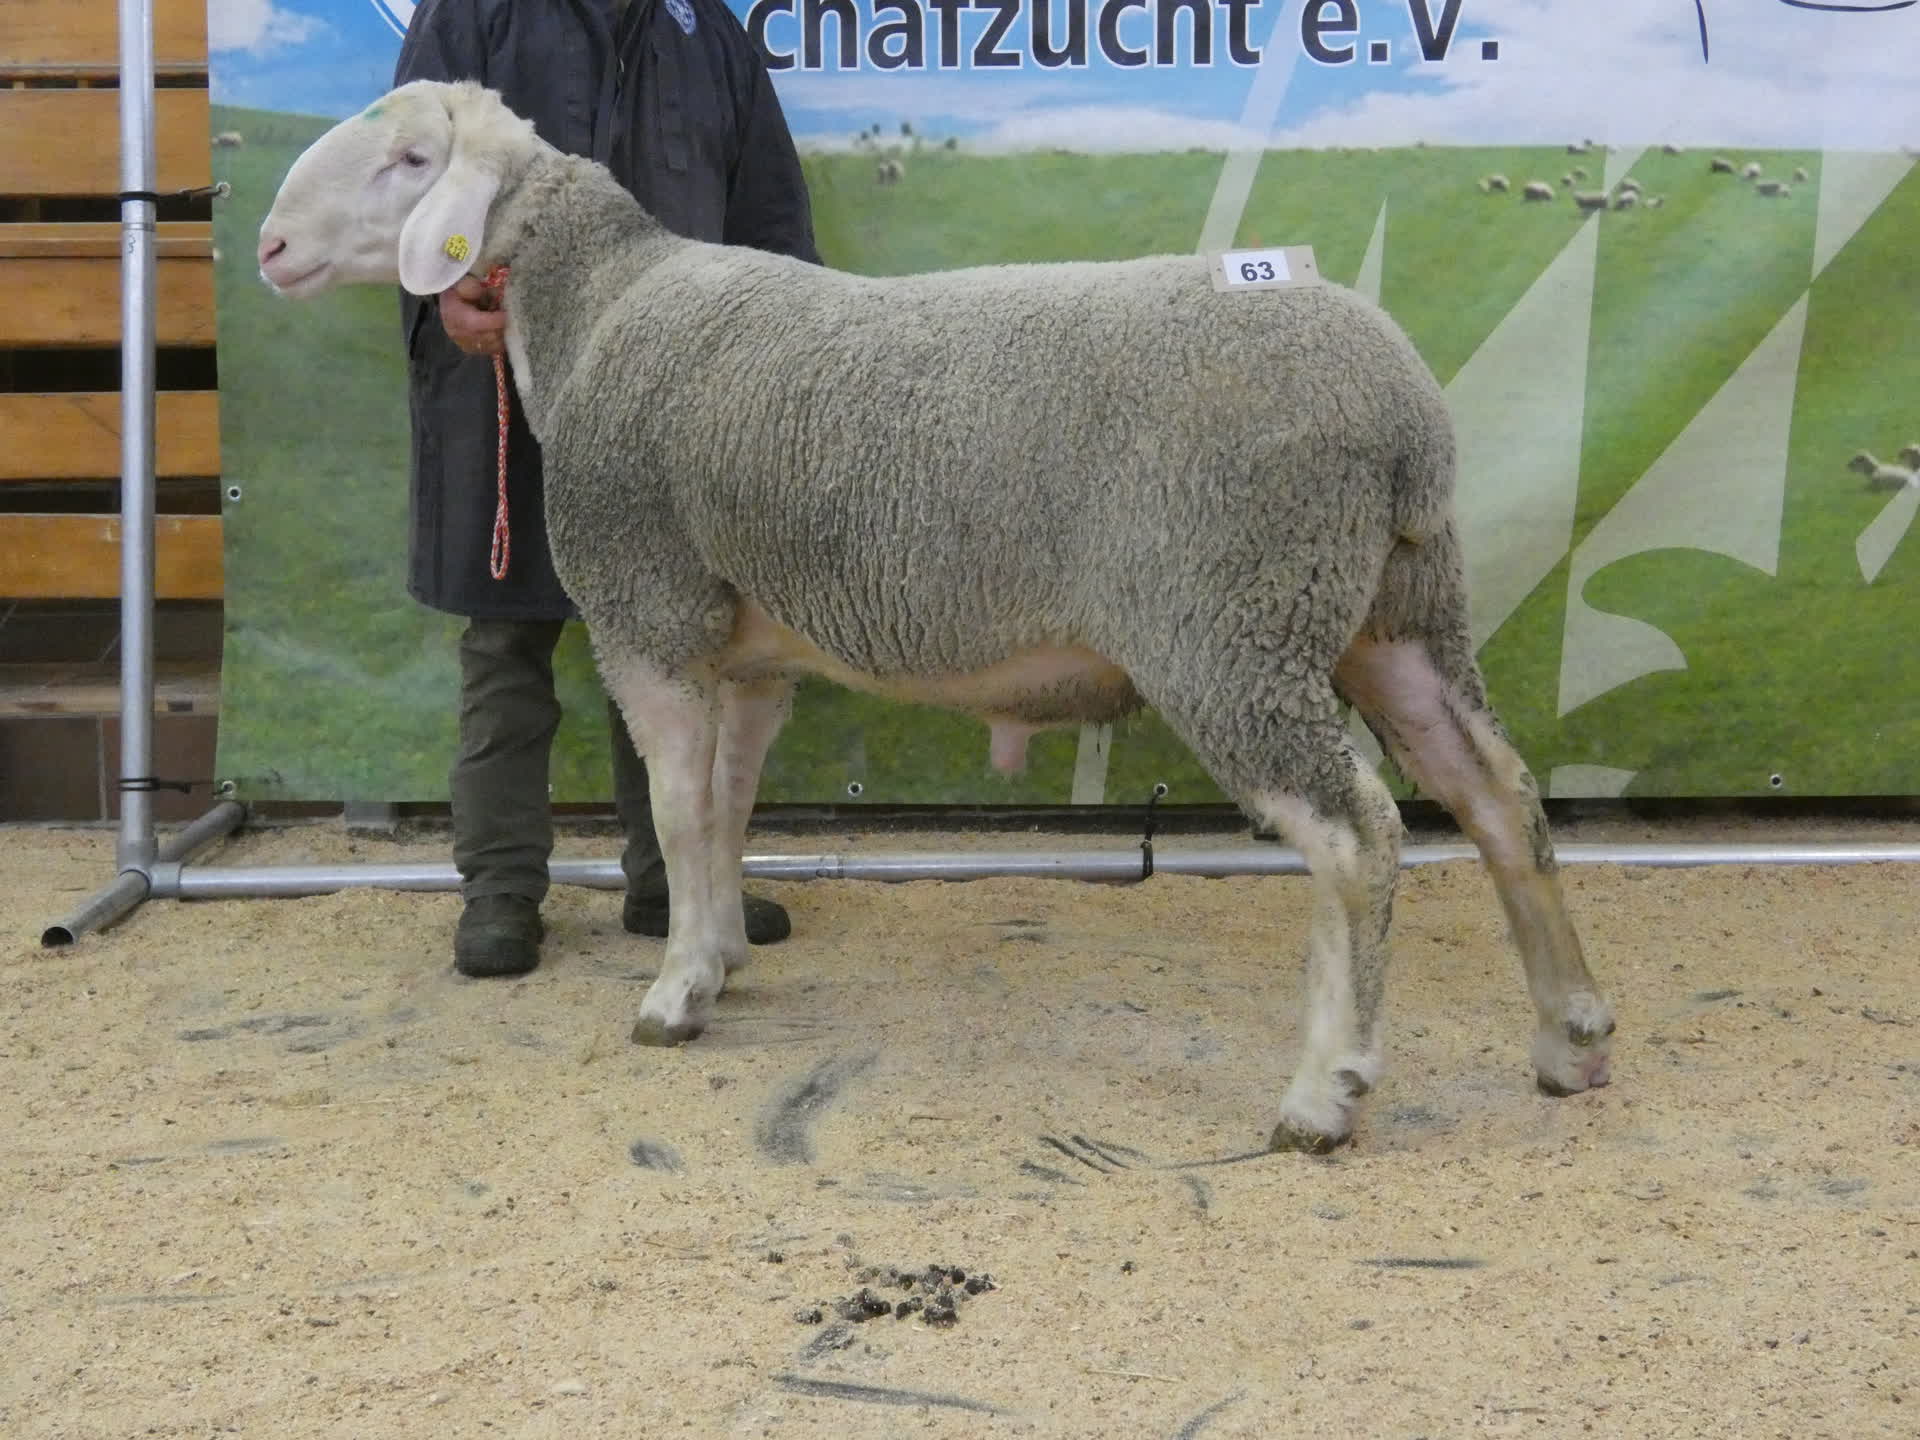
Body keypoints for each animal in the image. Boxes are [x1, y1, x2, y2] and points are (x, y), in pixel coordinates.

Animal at [253, 79, 1615, 1153]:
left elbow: (679, 815)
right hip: (1395, 611)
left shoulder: (651, 616)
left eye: (411, 161)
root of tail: (1403, 415)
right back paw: (1571, 1036)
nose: (264, 246)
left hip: (1232, 623)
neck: (596, 310)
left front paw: (676, 992)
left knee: (1357, 835)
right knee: (1499, 795)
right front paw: (726, 952)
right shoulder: (754, 656)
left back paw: (1324, 1093)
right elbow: (729, 812)